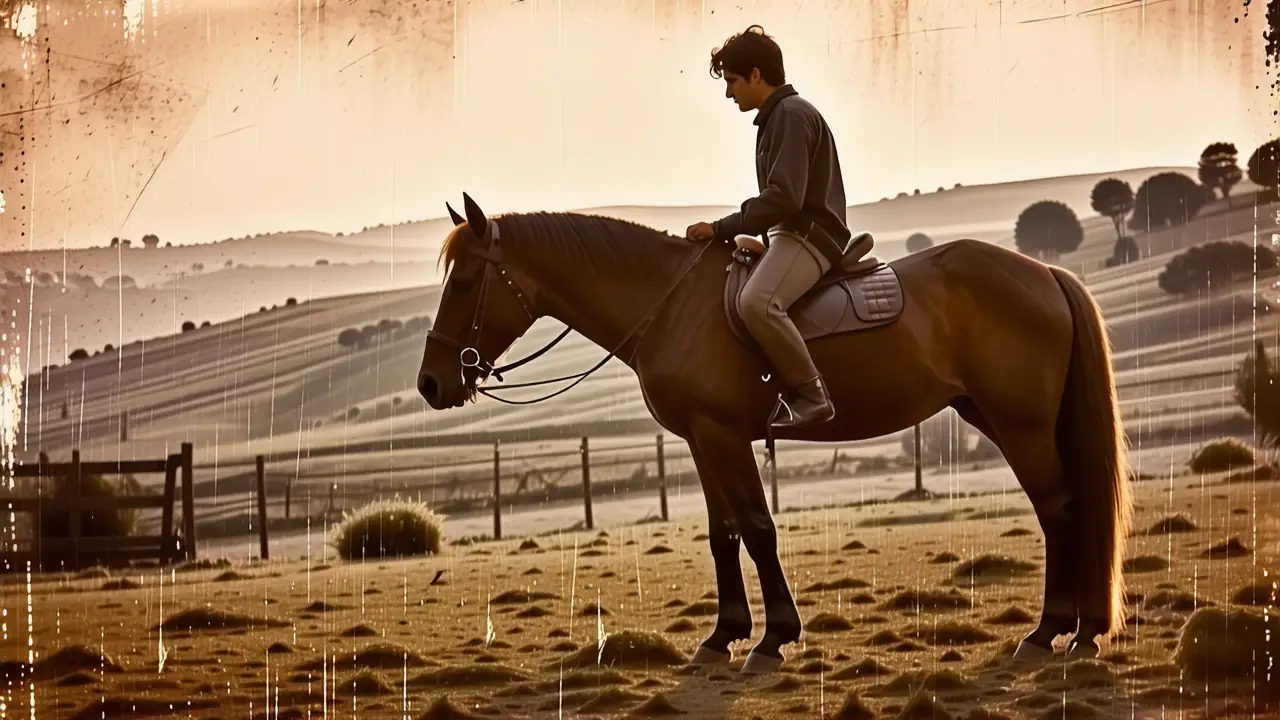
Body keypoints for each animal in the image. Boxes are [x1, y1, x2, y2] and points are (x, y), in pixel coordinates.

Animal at [417, 193, 1133, 676]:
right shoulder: (702, 438)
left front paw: (772, 637)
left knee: (1060, 511)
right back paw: (1078, 630)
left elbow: (758, 529)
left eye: (469, 279)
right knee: (1066, 511)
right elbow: (724, 534)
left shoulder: (722, 434)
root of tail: (1043, 273)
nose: (430, 383)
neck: (670, 303)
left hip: (1020, 425)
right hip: (994, 416)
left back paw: (1053, 632)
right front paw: (722, 635)